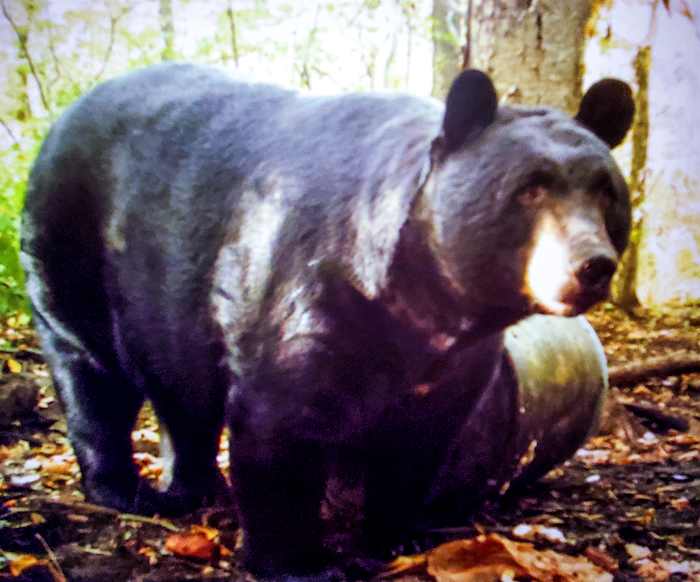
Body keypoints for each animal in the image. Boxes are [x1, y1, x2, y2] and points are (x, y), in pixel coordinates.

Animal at [21, 63, 634, 578]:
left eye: (607, 191)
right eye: (529, 189)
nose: (593, 266)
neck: (423, 303)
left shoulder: (457, 364)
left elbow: (419, 443)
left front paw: (396, 536)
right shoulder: (302, 288)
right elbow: (279, 426)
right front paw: (298, 561)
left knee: (181, 393)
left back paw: (196, 488)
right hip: (69, 255)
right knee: (93, 378)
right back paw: (122, 489)